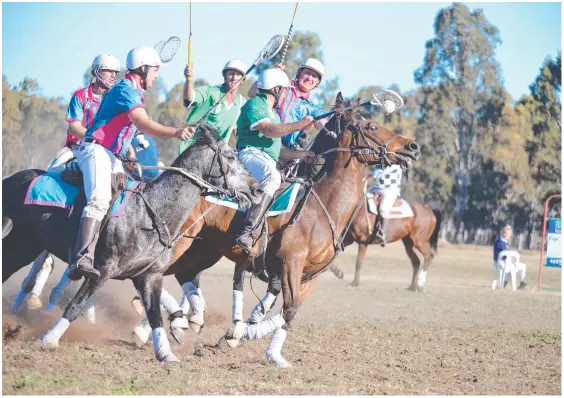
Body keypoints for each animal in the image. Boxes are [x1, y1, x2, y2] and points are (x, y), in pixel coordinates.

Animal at [1, 125, 262, 364]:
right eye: (230, 156)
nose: (257, 188)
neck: (152, 213)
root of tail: (10, 179)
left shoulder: (149, 276)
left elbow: (155, 315)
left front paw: (166, 353)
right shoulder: (102, 270)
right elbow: (76, 305)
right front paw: (50, 338)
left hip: (24, 246)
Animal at [145, 93, 418, 366]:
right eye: (371, 126)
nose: (412, 147)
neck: (322, 205)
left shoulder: (311, 274)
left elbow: (289, 312)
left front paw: (267, 351)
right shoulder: (290, 263)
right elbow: (288, 307)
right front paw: (242, 333)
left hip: (205, 249)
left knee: (183, 274)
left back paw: (186, 319)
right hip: (180, 242)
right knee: (158, 273)